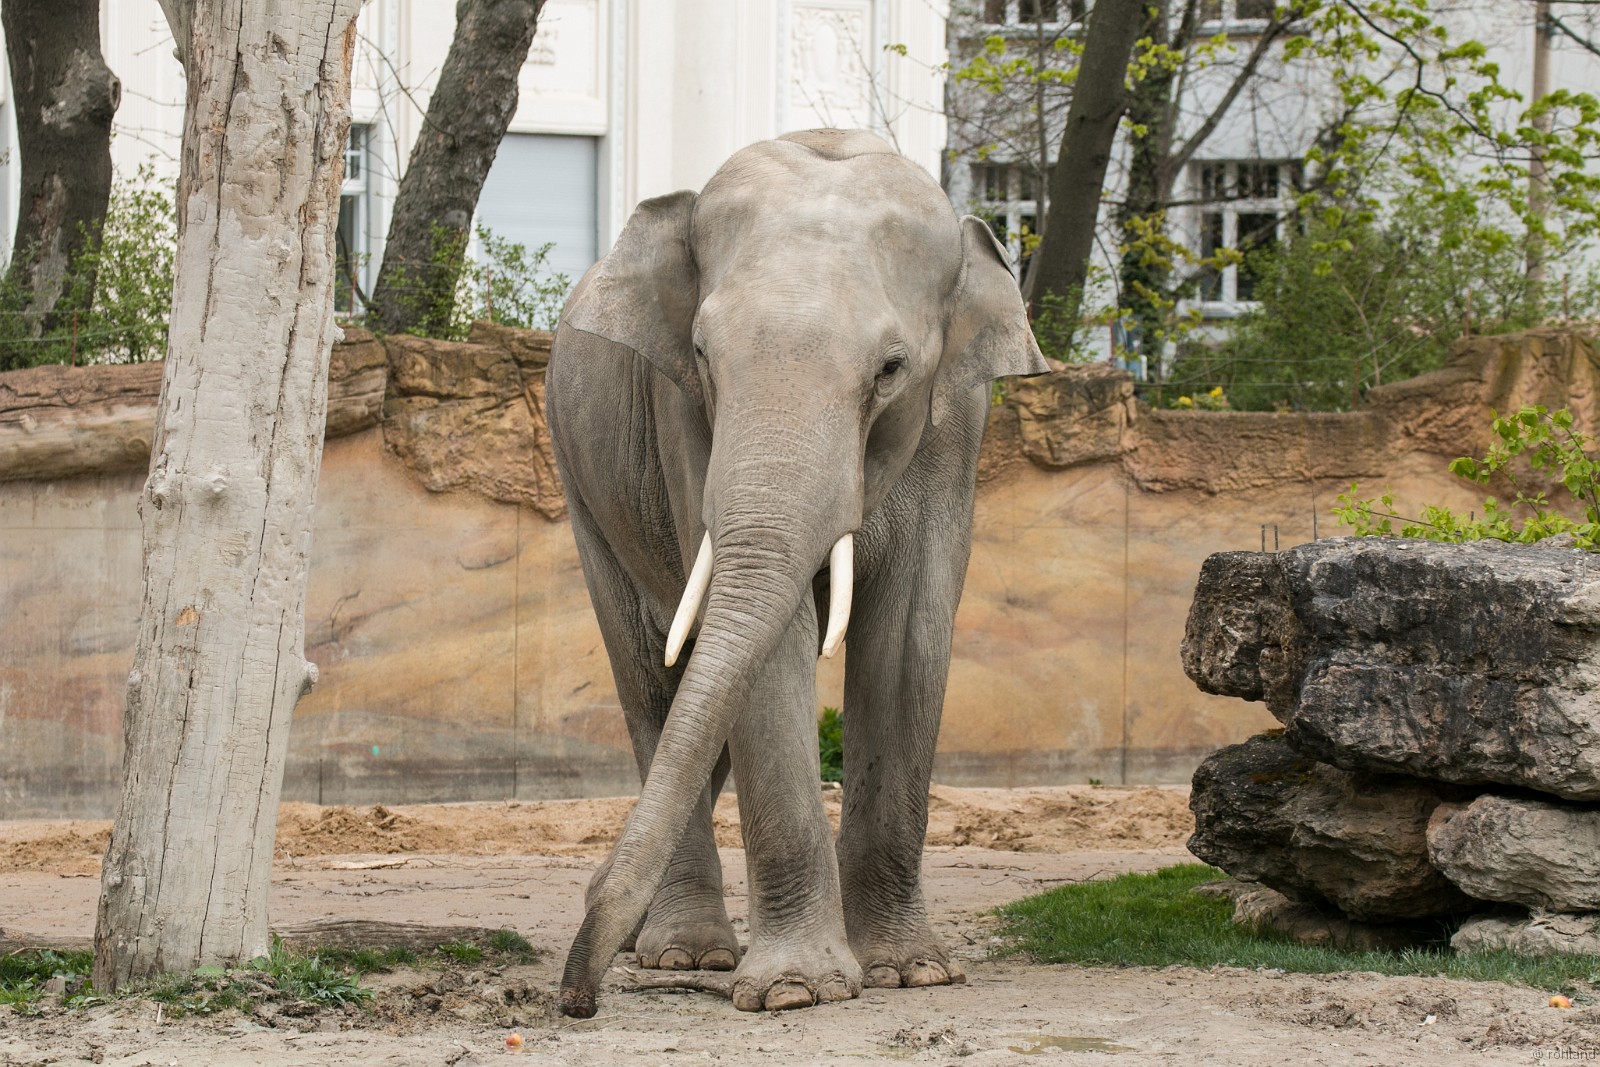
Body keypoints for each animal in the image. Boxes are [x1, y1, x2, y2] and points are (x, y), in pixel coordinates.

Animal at [545, 128, 1046, 1018]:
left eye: (890, 369)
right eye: (701, 353)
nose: (577, 1000)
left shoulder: (958, 424)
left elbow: (909, 638)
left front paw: (909, 972)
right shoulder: (685, 419)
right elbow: (766, 652)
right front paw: (794, 990)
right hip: (582, 482)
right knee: (651, 674)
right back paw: (684, 952)